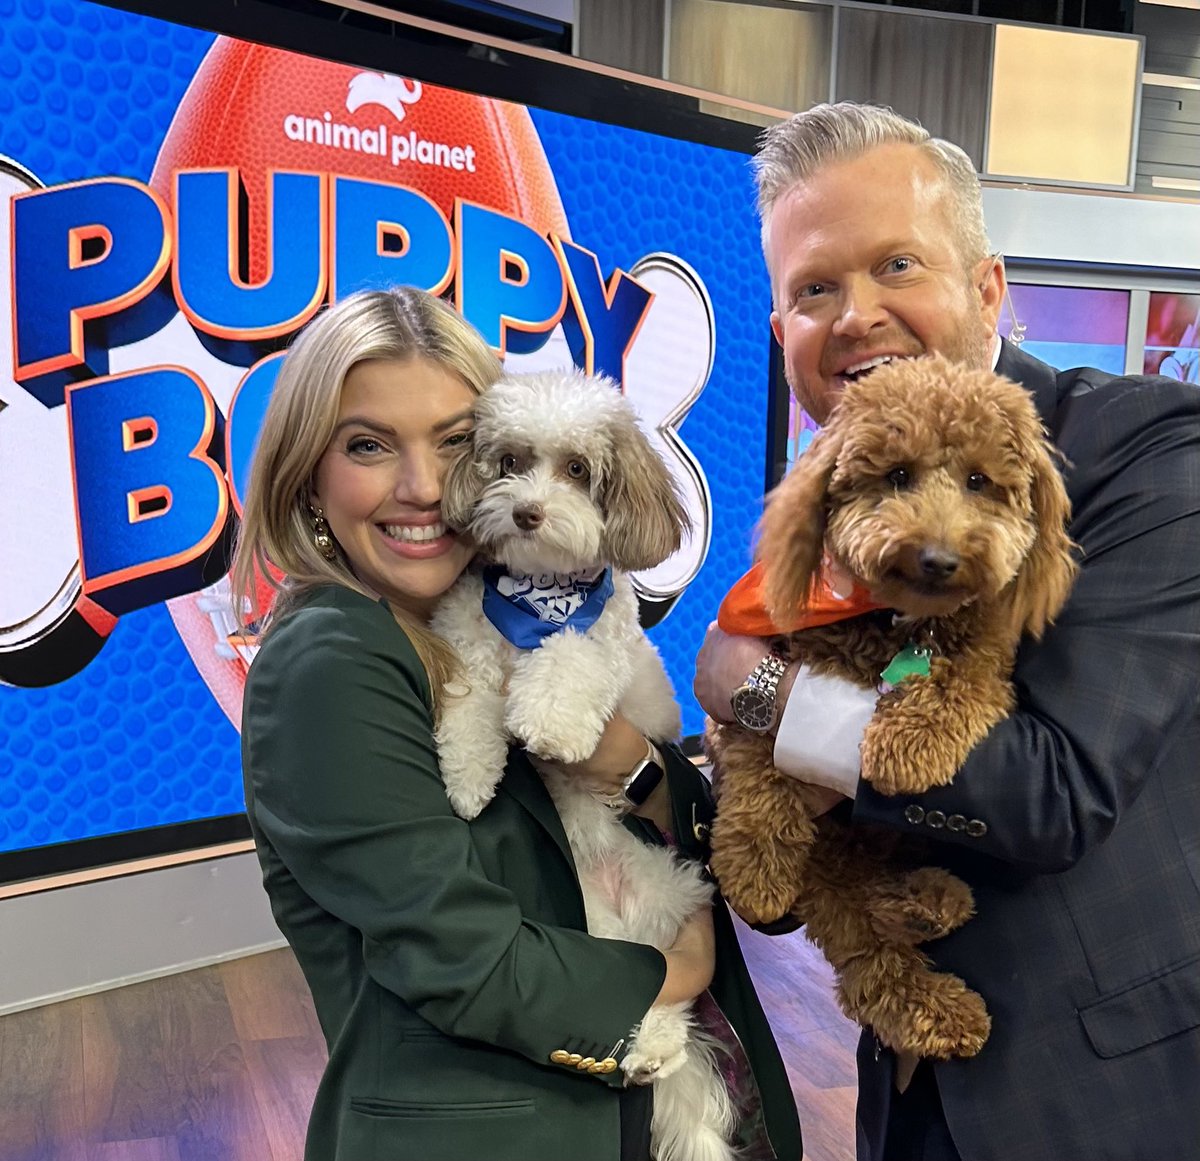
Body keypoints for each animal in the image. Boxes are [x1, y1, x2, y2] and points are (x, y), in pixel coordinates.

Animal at [429, 369, 729, 1161]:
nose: (527, 511)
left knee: (665, 990)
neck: (537, 598)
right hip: (596, 934)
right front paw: (468, 775)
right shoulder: (468, 641)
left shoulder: (599, 646)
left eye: (576, 469)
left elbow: (568, 660)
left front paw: (547, 722)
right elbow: (470, 701)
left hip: (663, 893)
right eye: (508, 461)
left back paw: (655, 1049)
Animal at [705, 355, 1075, 1060]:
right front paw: (753, 869)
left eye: (979, 481)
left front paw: (908, 744)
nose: (938, 558)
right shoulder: (756, 683)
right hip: (830, 878)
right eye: (898, 474)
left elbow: (959, 684)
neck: (898, 618)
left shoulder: (989, 657)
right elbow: (760, 761)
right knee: (873, 967)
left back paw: (931, 905)